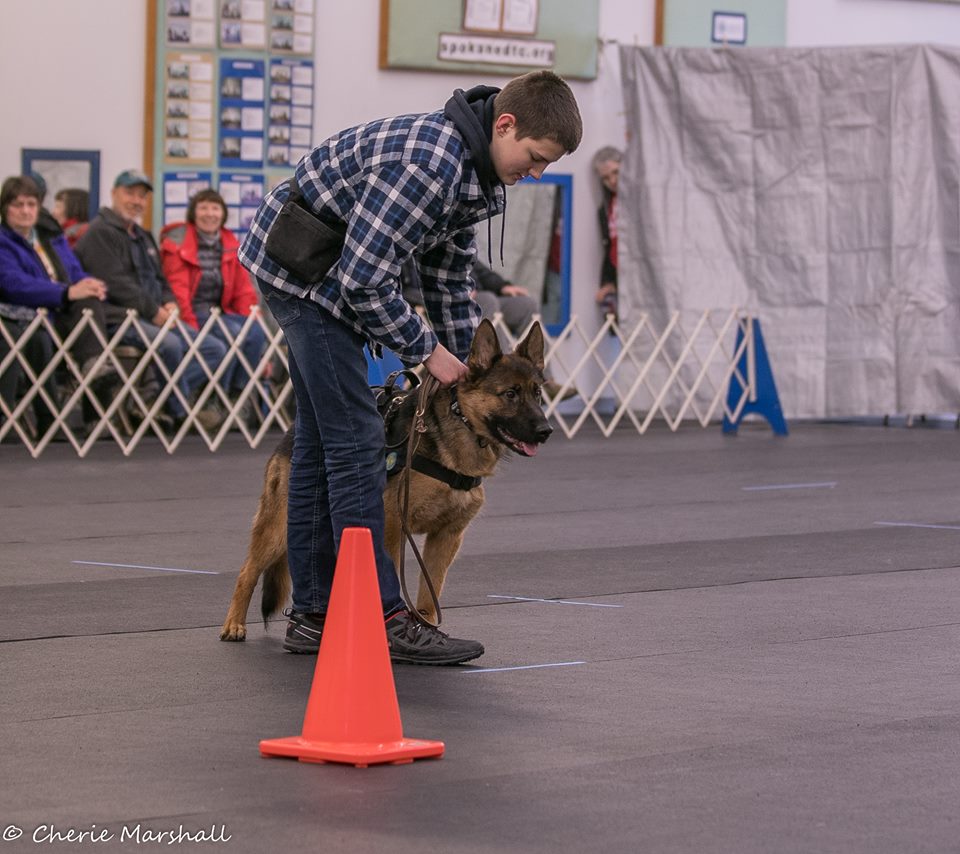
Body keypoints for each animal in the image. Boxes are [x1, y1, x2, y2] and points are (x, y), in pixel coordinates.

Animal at [220, 320, 552, 640]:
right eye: (510, 394)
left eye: (537, 393)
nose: (546, 431)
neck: (460, 425)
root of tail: (294, 431)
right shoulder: (392, 526)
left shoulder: (446, 537)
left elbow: (430, 595)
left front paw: (427, 629)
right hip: (278, 528)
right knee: (246, 572)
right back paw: (234, 624)